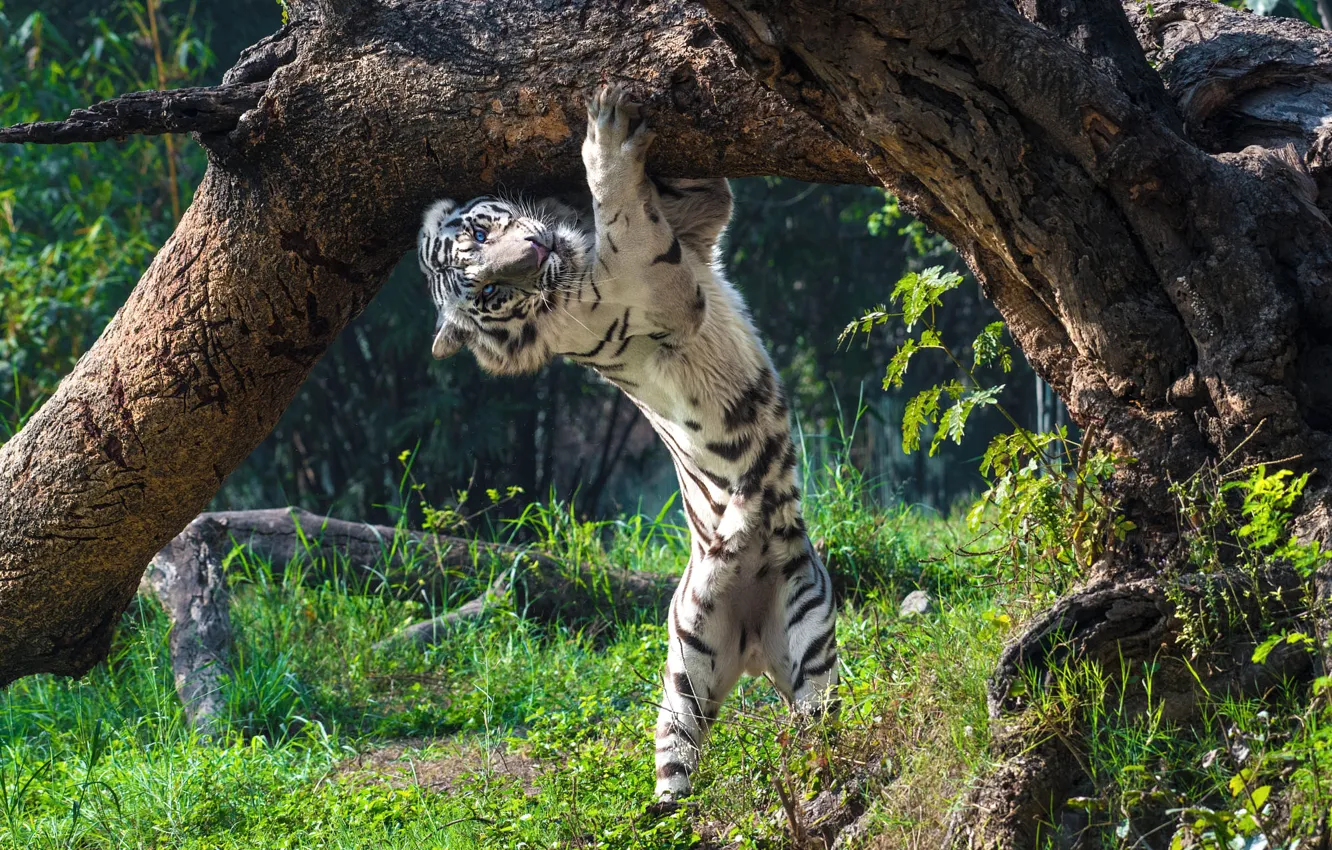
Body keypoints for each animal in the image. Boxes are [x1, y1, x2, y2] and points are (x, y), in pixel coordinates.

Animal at [417, 84, 838, 803]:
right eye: (490, 292)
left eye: (479, 232)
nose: (535, 255)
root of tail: (753, 647)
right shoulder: (659, 287)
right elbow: (623, 213)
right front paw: (606, 134)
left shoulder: (696, 227)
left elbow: (692, 193)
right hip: (689, 672)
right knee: (680, 772)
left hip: (805, 633)